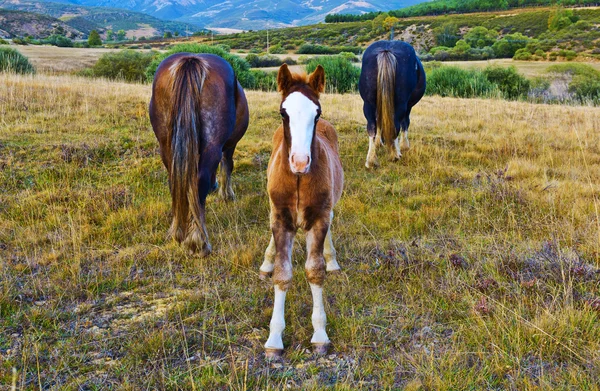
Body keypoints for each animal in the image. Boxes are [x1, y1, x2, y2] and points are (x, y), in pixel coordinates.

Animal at [149, 54, 248, 258]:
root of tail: (191, 60)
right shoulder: (229, 145)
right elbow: (227, 165)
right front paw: (226, 194)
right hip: (213, 144)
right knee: (199, 180)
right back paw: (198, 242)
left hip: (166, 146)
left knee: (175, 180)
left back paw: (178, 232)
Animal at [260, 63, 344, 358]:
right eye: (283, 112)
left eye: (316, 113)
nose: (299, 161)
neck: (297, 180)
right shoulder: (281, 219)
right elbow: (282, 273)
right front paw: (274, 339)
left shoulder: (318, 218)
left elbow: (315, 270)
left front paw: (320, 335)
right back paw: (265, 262)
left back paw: (333, 260)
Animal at [356, 40, 426, 168]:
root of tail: (386, 50)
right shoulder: (408, 106)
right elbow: (405, 123)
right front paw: (404, 146)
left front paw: (379, 142)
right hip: (401, 104)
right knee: (396, 125)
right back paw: (395, 155)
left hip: (368, 103)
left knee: (371, 126)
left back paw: (371, 160)